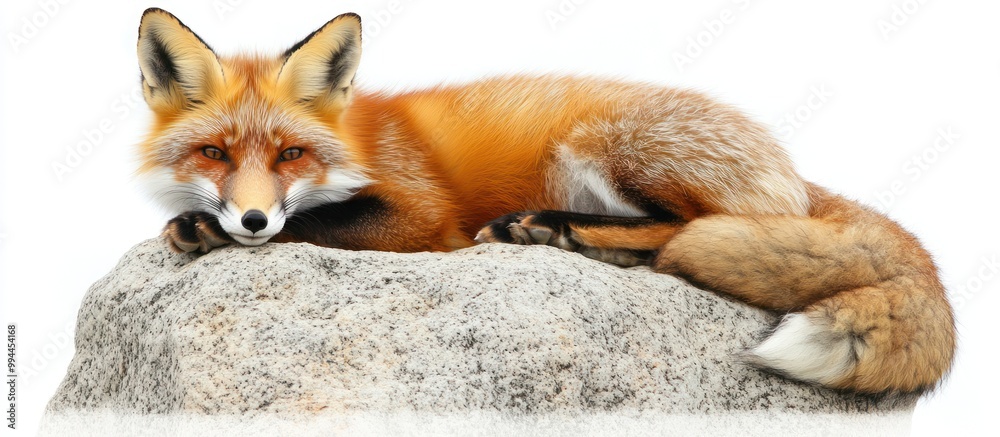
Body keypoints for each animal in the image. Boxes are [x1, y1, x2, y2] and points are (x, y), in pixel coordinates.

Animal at [135, 8, 954, 396]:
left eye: (290, 155)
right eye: (214, 154)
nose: (249, 217)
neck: (361, 137)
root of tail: (795, 170)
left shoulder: (422, 211)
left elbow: (315, 221)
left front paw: (211, 229)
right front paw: (208, 223)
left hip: (600, 142)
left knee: (683, 231)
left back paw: (556, 229)